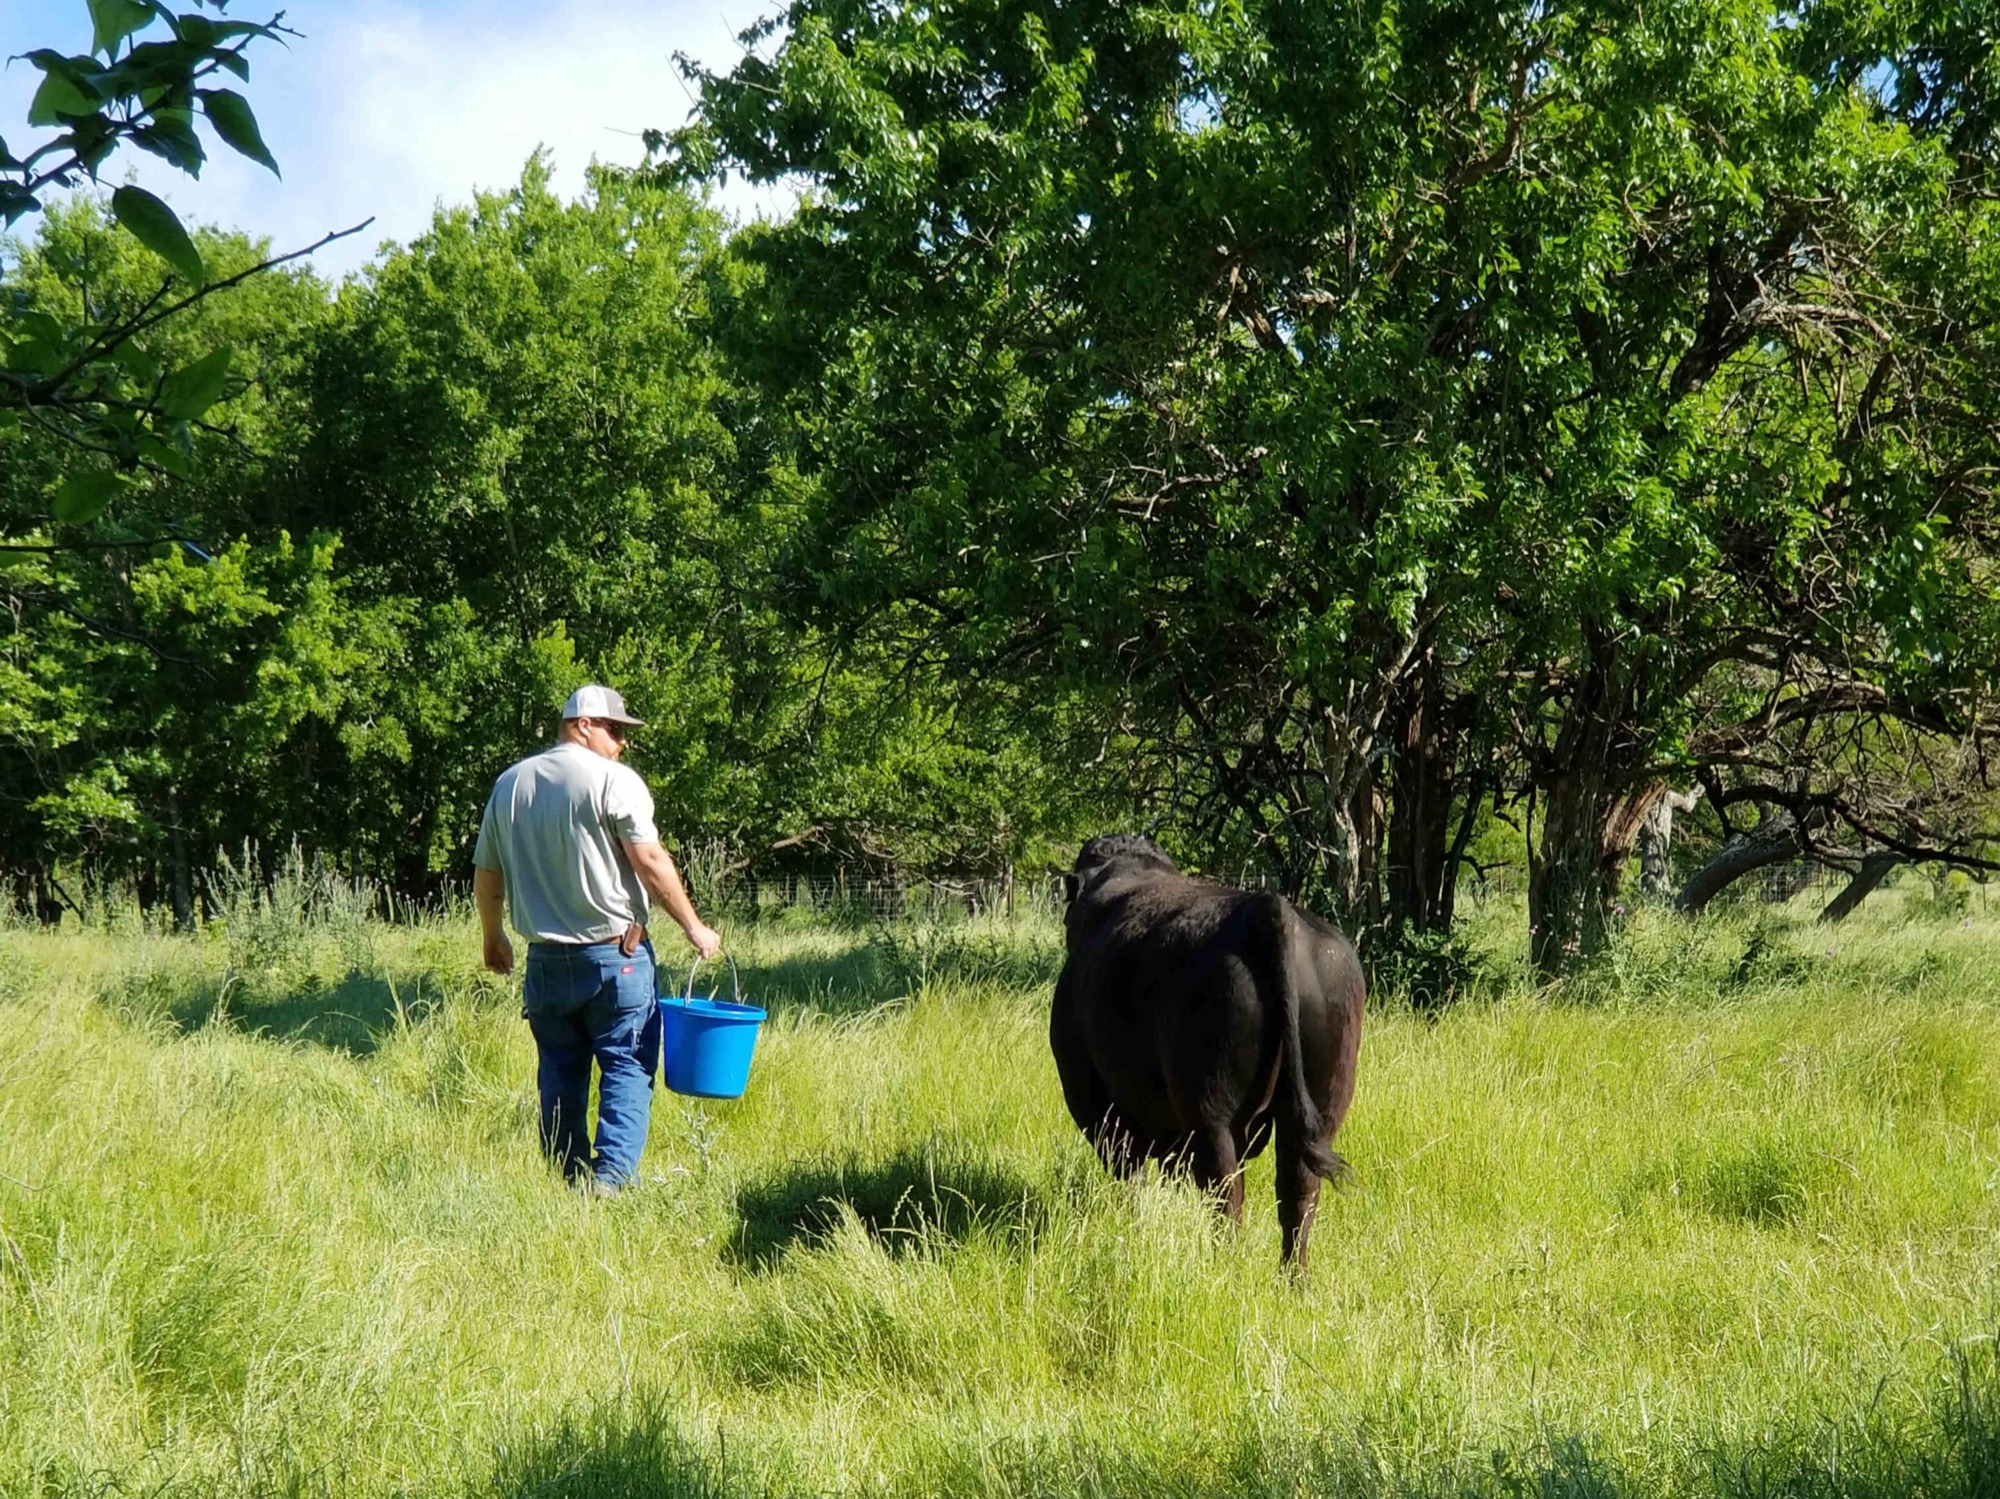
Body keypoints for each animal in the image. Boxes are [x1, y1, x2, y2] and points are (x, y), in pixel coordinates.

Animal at [1049, 834, 1365, 1275]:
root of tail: (1265, 910)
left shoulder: (1097, 1108)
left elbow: (1131, 1178)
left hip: (1211, 1114)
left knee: (1225, 1193)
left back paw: (1224, 1268)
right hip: (1322, 1107)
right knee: (1298, 1196)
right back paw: (1293, 1280)